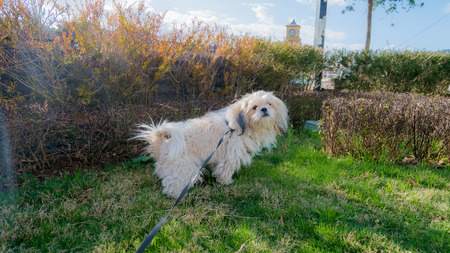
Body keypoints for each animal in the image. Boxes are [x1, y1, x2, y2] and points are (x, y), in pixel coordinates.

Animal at [134, 91, 288, 198]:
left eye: (269, 104)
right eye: (254, 107)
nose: (264, 109)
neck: (237, 127)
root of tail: (160, 142)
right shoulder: (230, 156)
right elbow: (225, 170)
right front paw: (226, 182)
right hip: (184, 167)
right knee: (173, 184)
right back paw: (177, 196)